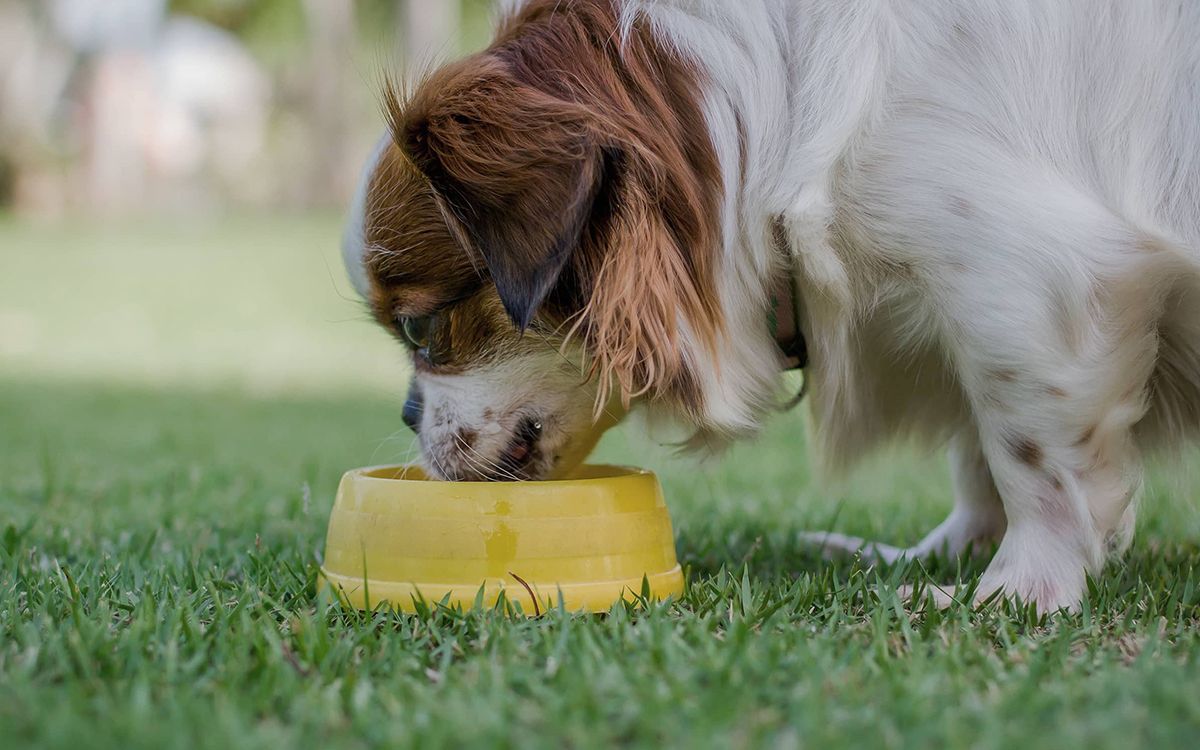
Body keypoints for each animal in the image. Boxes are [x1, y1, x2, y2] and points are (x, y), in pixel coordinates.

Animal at [343, 0, 1200, 609]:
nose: (408, 415)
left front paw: (1014, 593)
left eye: (418, 328)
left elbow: (1033, 460)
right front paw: (945, 554)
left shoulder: (1022, 276)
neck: (777, 106)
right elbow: (979, 454)